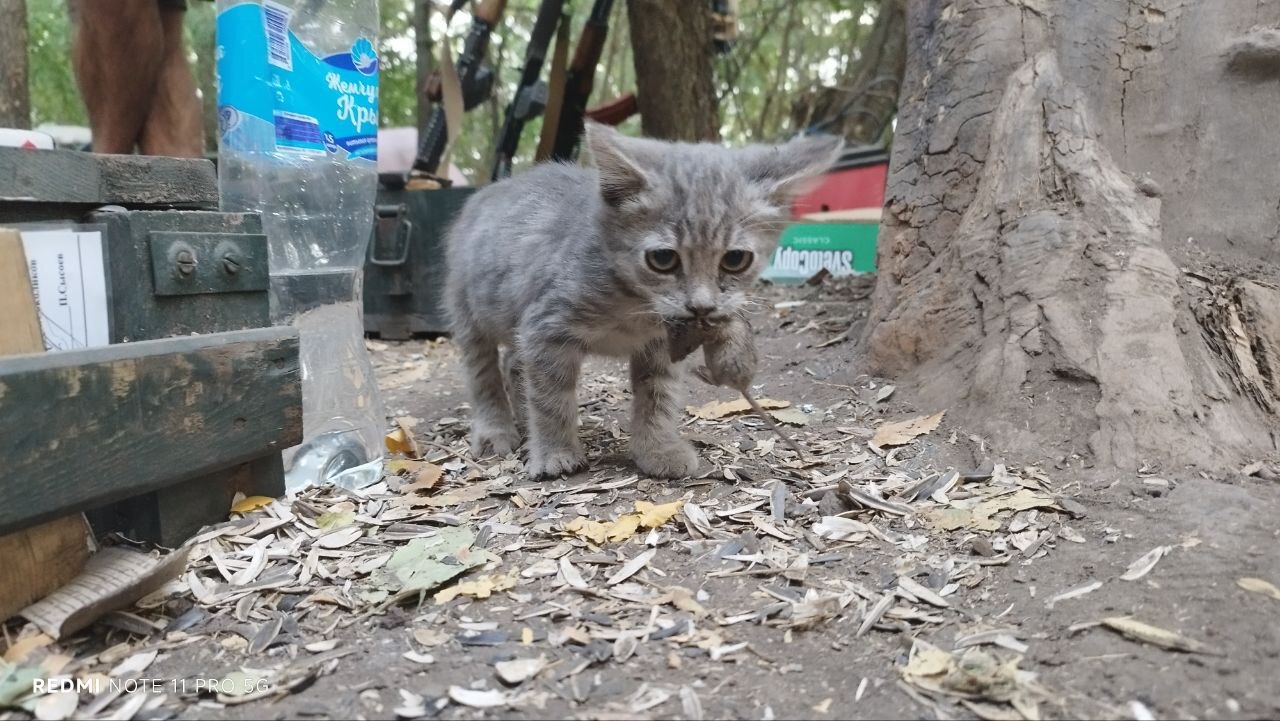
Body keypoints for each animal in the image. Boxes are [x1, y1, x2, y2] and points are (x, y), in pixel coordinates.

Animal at [445, 124, 844, 478]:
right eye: (663, 259)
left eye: (735, 259)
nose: (701, 306)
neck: (637, 306)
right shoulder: (545, 328)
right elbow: (550, 398)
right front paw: (555, 452)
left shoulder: (660, 344)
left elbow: (658, 397)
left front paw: (657, 448)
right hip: (467, 313)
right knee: (483, 372)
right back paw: (496, 430)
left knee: (512, 361)